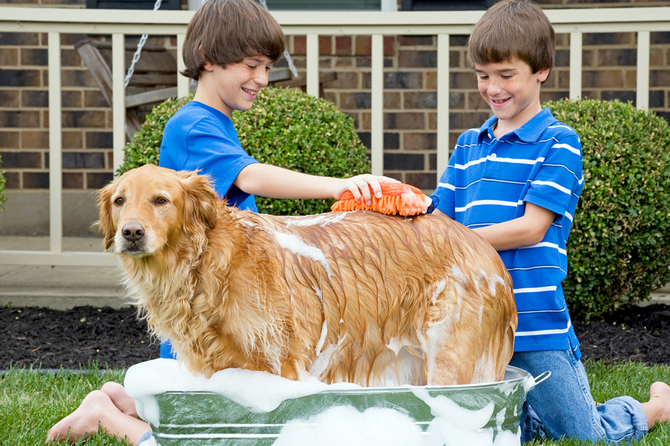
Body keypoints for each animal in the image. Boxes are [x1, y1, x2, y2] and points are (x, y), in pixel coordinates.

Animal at [98, 164, 520, 386]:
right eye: (120, 200)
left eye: (161, 200)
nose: (131, 232)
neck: (209, 264)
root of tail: (479, 243)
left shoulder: (283, 364)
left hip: (451, 360)